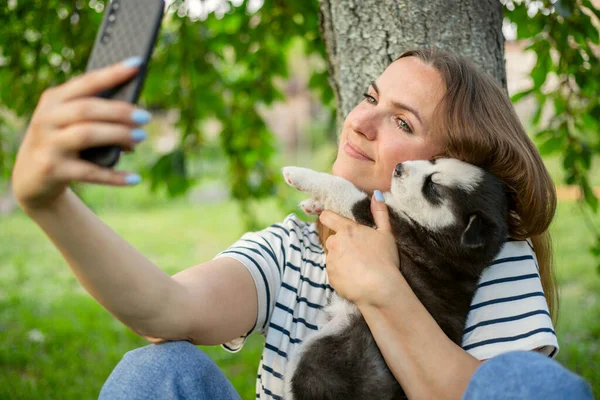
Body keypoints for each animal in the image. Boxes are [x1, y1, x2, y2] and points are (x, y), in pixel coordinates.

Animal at [282, 159, 510, 400]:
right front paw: (313, 204)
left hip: (320, 357)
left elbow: (342, 187)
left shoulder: (380, 219)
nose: (399, 167)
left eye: (433, 187)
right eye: (434, 160)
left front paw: (297, 174)